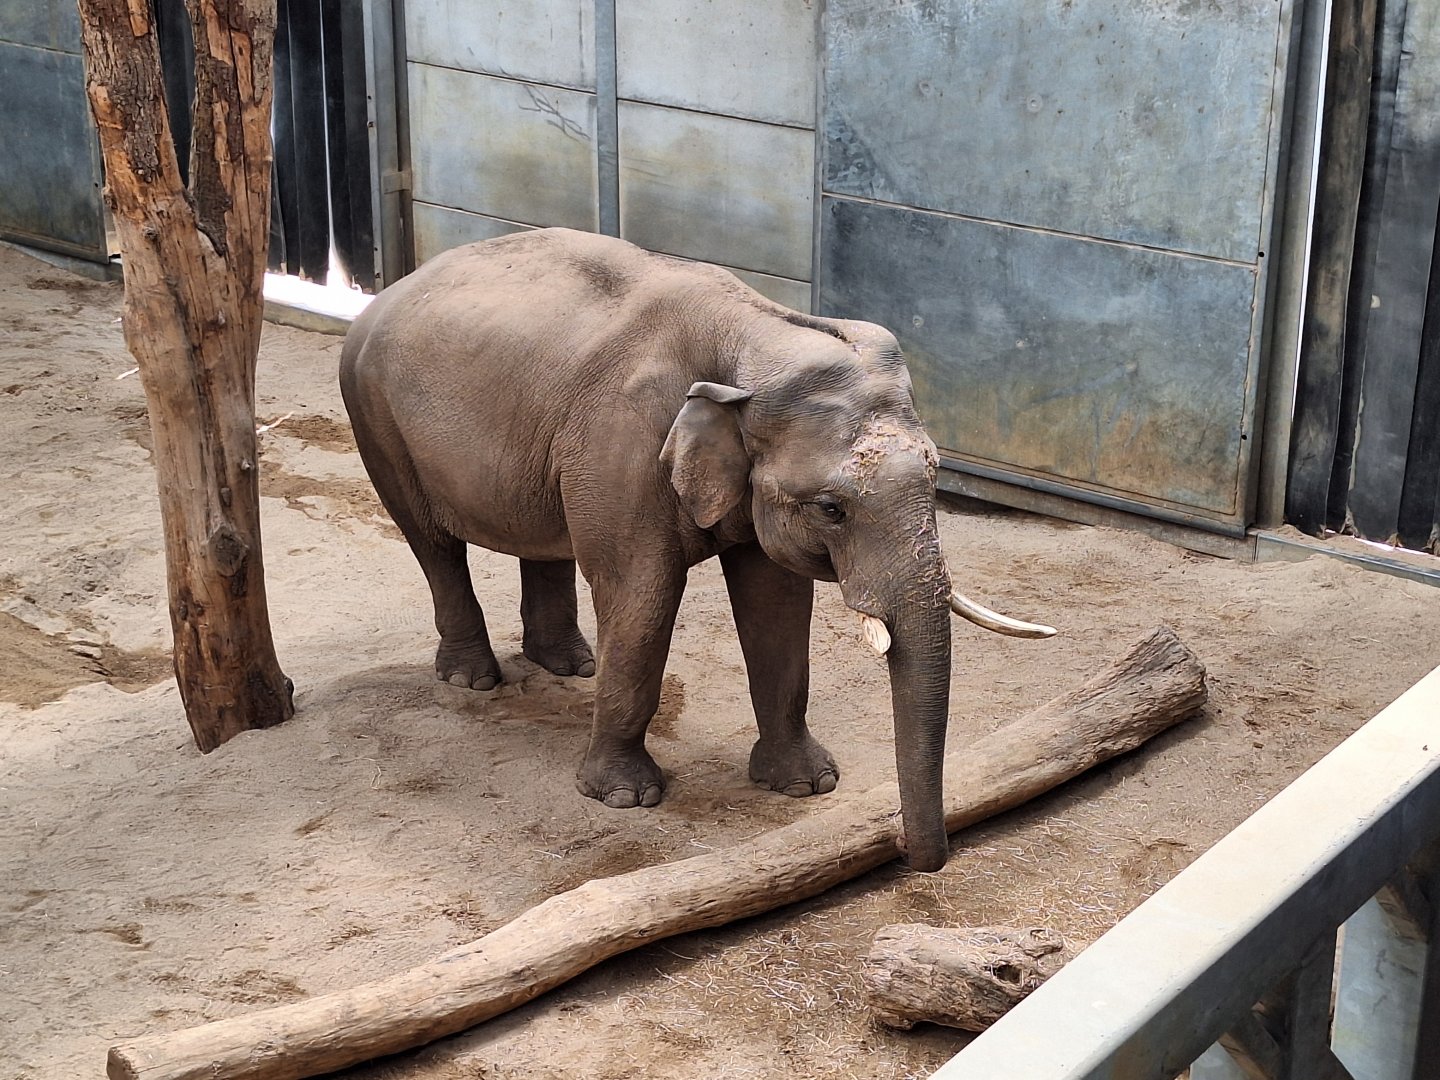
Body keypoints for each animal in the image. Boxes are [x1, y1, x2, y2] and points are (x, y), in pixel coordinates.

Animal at [339, 227, 1053, 872]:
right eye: (832, 509)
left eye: (937, 477)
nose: (914, 857)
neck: (755, 336)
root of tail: (393, 287)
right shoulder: (624, 448)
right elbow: (644, 595)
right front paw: (624, 799)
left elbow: (775, 601)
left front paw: (808, 785)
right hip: (375, 416)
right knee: (432, 543)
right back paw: (473, 678)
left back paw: (571, 666)